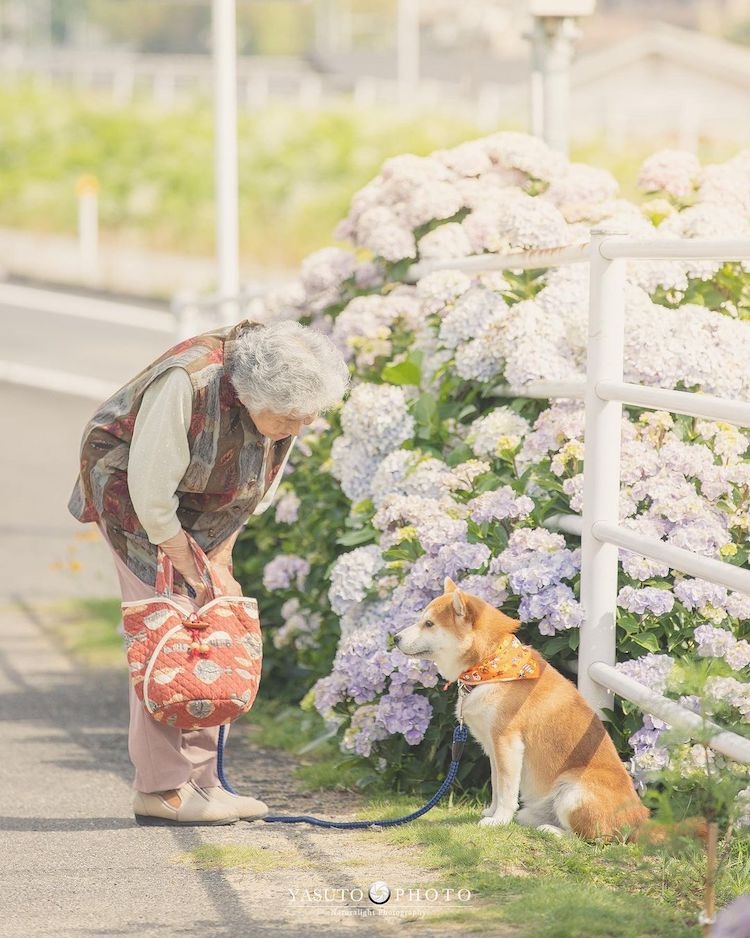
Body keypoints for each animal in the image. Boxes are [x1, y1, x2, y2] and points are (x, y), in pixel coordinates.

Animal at [396, 576, 648, 836]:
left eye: (428, 623)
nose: (395, 638)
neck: (489, 668)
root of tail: (640, 819)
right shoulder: (493, 747)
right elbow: (497, 785)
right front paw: (492, 812)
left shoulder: (507, 743)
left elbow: (507, 790)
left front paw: (499, 820)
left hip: (572, 791)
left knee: (591, 835)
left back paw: (553, 831)